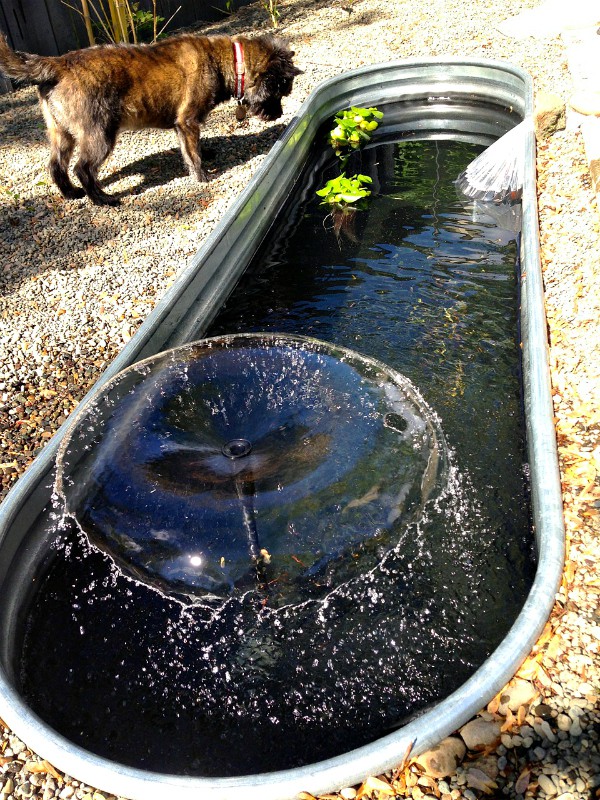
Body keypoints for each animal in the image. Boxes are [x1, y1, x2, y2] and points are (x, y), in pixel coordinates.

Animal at [0, 30, 300, 206]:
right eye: (278, 92)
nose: (279, 114)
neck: (225, 61)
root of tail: (58, 64)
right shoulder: (187, 122)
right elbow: (193, 154)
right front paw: (202, 175)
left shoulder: (183, 127)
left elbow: (192, 148)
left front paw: (206, 155)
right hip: (100, 135)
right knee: (82, 168)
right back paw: (102, 199)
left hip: (62, 134)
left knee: (56, 166)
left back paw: (72, 194)